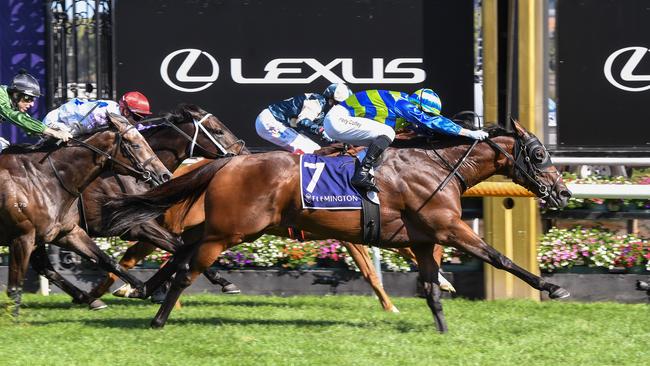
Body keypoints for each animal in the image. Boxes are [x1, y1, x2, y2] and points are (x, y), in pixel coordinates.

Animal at [1, 114, 170, 314]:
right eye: (135, 144)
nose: (165, 175)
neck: (43, 178)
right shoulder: (22, 238)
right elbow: (14, 289)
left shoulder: (66, 232)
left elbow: (107, 260)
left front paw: (141, 288)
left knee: (46, 268)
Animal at [27, 103, 248, 308]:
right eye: (217, 131)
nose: (244, 152)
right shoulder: (137, 226)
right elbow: (180, 247)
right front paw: (225, 282)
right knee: (43, 266)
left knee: (44, 266)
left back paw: (88, 299)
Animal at [109, 121, 568, 332]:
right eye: (538, 154)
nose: (562, 193)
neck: (434, 166)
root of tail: (226, 163)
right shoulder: (449, 228)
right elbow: (499, 258)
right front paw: (552, 287)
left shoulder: (420, 239)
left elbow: (432, 287)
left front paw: (441, 327)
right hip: (228, 233)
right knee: (185, 269)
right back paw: (157, 316)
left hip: (225, 229)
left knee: (177, 253)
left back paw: (140, 290)